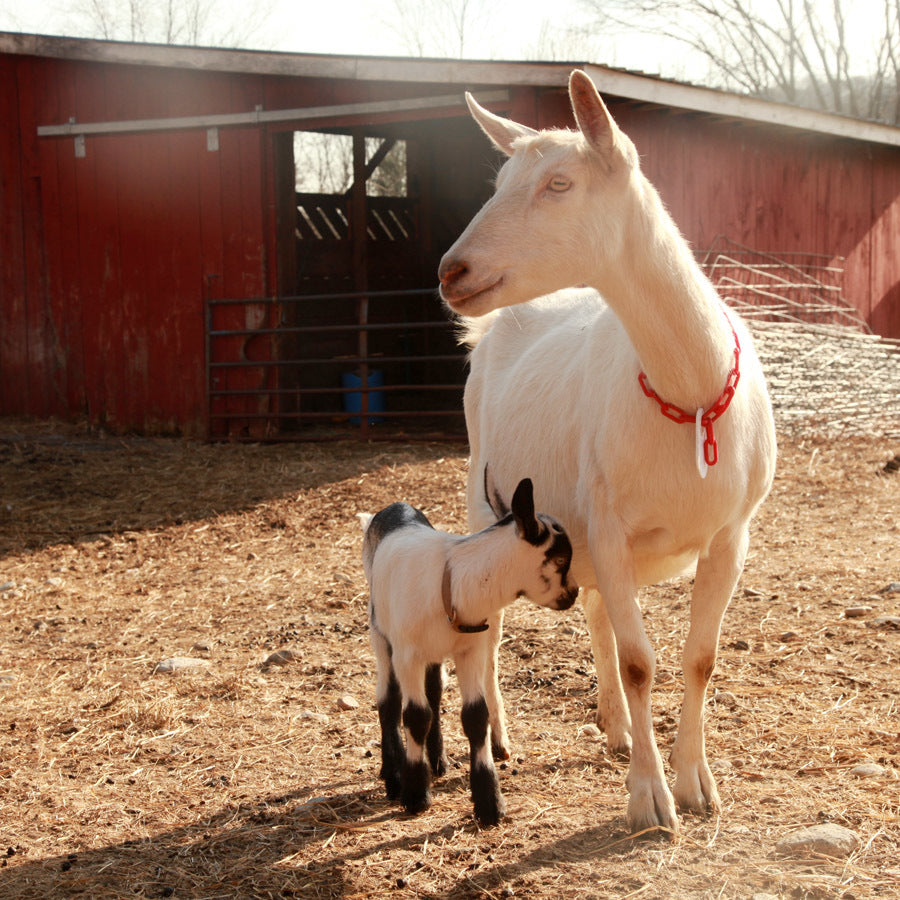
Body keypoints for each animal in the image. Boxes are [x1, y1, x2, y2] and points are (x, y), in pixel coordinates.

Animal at [360, 482, 576, 828]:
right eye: (559, 559)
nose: (573, 594)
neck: (451, 579)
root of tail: (394, 508)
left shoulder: (470, 650)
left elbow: (476, 715)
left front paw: (489, 805)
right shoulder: (408, 655)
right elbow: (415, 716)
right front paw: (416, 796)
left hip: (433, 652)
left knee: (433, 691)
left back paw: (437, 761)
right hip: (381, 634)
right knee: (389, 700)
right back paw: (393, 777)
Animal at [440, 68, 776, 828]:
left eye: (559, 183)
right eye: (501, 178)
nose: (451, 271)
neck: (689, 396)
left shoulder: (730, 534)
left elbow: (698, 657)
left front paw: (697, 783)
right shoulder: (612, 525)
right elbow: (639, 661)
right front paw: (651, 799)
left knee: (594, 613)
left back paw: (618, 728)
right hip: (485, 496)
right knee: (487, 630)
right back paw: (500, 738)